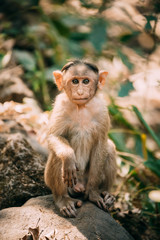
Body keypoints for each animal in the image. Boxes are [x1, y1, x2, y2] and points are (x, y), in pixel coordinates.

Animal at [44, 60, 117, 218]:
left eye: (86, 81)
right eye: (75, 81)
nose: (80, 92)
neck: (82, 106)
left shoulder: (102, 110)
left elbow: (101, 143)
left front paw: (94, 194)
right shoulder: (60, 105)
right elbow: (54, 136)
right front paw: (68, 156)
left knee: (109, 148)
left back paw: (106, 193)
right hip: (69, 185)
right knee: (58, 157)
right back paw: (62, 199)